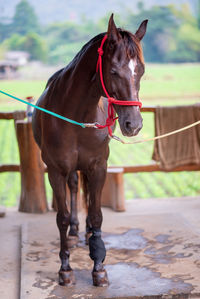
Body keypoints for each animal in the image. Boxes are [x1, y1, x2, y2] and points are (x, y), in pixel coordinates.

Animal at [32, 14, 147, 288]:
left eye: (141, 71)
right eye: (114, 71)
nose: (134, 124)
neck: (76, 115)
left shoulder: (98, 167)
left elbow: (96, 215)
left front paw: (99, 268)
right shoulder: (55, 171)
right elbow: (61, 217)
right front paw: (65, 269)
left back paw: (85, 233)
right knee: (75, 188)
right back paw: (75, 232)